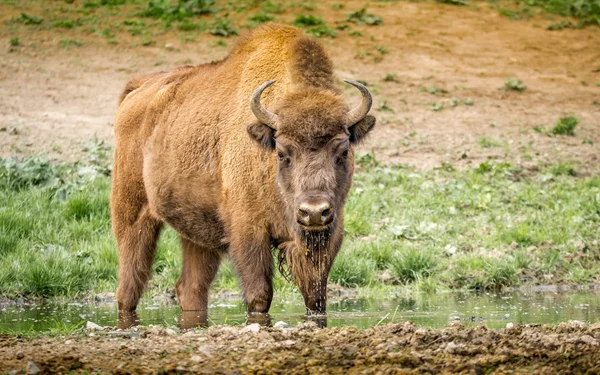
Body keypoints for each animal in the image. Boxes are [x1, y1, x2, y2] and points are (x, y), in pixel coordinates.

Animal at [111, 23, 376, 318]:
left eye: (343, 153)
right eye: (282, 153)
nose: (315, 212)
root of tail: (138, 90)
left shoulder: (329, 234)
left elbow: (315, 296)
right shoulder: (248, 232)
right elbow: (259, 294)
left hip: (197, 234)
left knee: (191, 286)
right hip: (132, 213)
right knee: (130, 280)